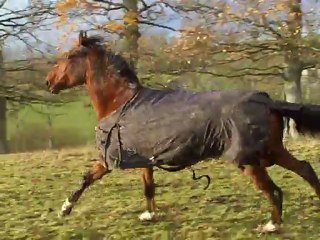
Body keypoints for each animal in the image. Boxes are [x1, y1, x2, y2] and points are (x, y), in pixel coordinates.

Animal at [45, 31, 320, 232]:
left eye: (69, 56)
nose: (48, 82)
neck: (120, 103)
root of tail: (267, 101)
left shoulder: (109, 159)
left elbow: (87, 178)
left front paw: (64, 209)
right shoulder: (143, 157)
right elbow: (147, 186)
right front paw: (148, 215)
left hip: (250, 160)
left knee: (274, 190)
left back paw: (271, 225)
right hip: (272, 151)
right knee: (306, 169)